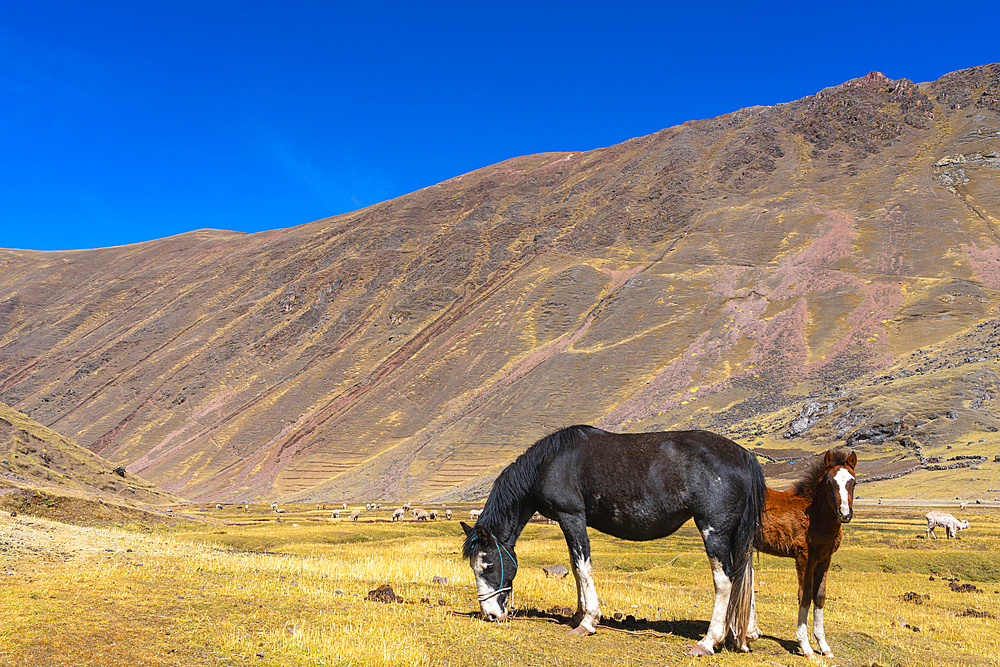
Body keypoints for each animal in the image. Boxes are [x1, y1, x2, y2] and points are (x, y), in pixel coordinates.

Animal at [462, 426, 764, 656]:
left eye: (488, 566)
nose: (490, 615)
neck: (548, 464)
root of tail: (743, 454)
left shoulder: (571, 516)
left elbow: (583, 567)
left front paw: (587, 622)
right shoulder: (568, 522)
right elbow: (576, 569)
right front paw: (577, 615)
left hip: (714, 530)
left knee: (725, 580)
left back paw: (709, 641)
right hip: (737, 533)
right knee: (745, 573)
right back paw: (744, 634)